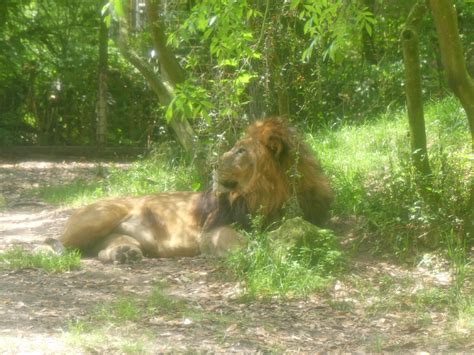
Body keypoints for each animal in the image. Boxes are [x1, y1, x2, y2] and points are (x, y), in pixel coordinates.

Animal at [47, 118, 330, 262]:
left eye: (241, 151)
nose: (213, 164)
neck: (267, 194)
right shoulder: (212, 230)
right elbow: (241, 242)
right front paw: (262, 251)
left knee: (96, 250)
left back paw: (123, 254)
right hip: (102, 215)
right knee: (59, 243)